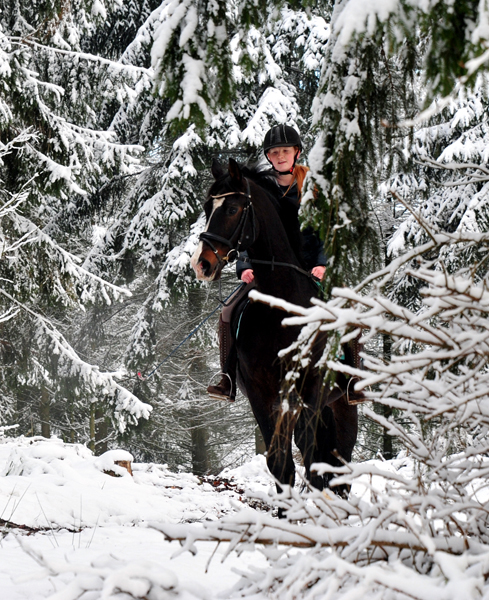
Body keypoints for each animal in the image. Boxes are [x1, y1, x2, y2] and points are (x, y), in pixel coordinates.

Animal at [189, 157, 356, 494]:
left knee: (340, 468)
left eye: (232, 208)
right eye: (206, 207)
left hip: (343, 406)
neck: (282, 311)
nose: (201, 264)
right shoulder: (262, 394)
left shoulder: (309, 390)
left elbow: (311, 461)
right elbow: (280, 464)